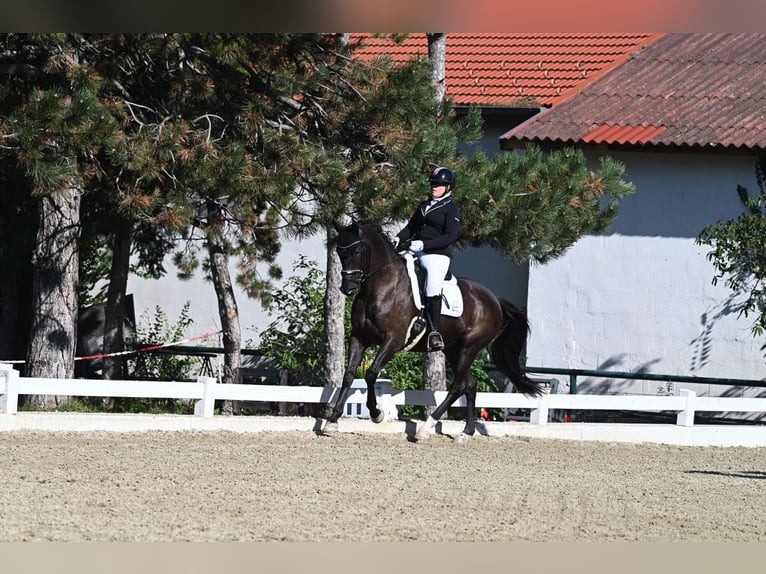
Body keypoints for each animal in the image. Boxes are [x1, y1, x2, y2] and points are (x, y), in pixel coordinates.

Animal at [326, 219, 544, 440]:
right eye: (339, 252)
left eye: (357, 251)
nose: (347, 288)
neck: (381, 287)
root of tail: (494, 299)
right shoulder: (359, 337)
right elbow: (349, 375)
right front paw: (332, 420)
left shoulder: (393, 340)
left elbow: (371, 374)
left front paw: (376, 413)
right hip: (453, 349)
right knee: (470, 385)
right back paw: (466, 432)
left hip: (470, 347)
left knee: (458, 387)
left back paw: (426, 427)